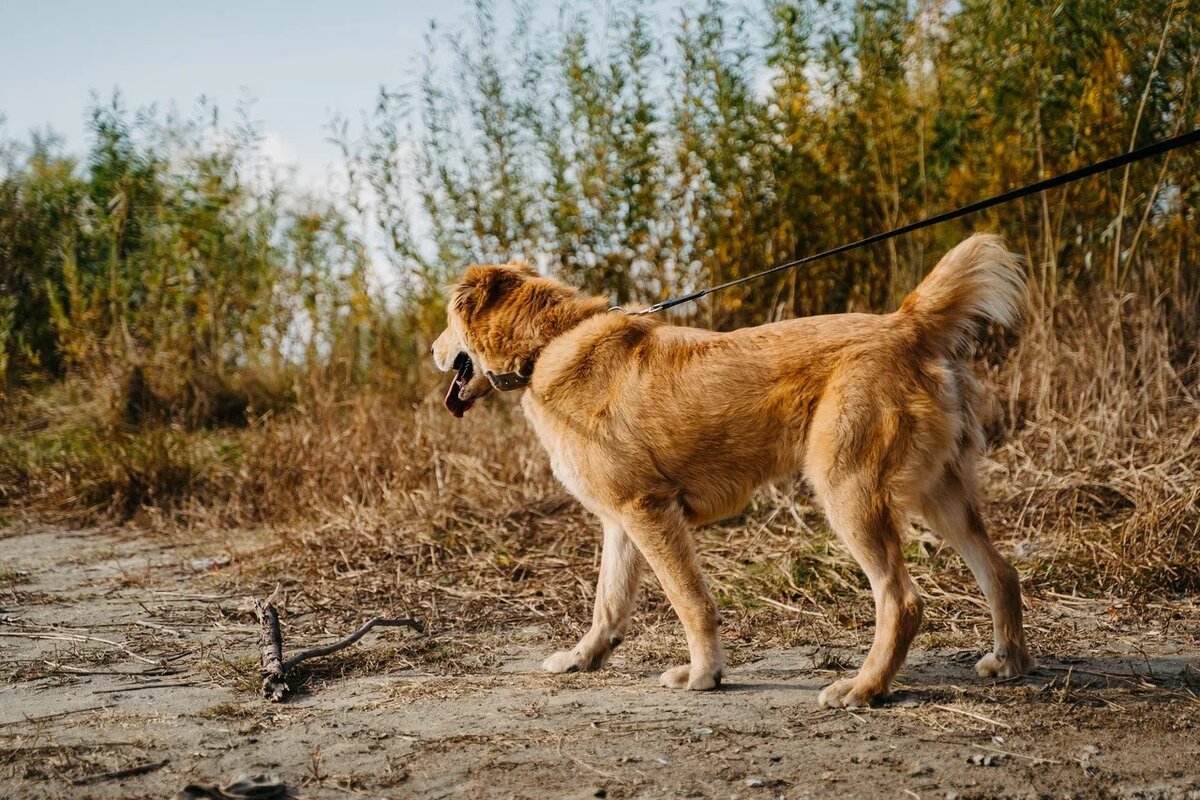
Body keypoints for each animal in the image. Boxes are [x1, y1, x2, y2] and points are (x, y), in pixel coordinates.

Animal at [436, 232, 1036, 705]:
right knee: (1001, 572)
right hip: (941, 496)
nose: (434, 351)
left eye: (447, 322)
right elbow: (608, 604)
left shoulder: (650, 514)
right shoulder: (620, 523)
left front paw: (704, 674)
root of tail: (907, 324)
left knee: (902, 601)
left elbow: (690, 602)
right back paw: (1008, 661)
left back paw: (865, 688)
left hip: (850, 495)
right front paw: (584, 658)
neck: (549, 343)